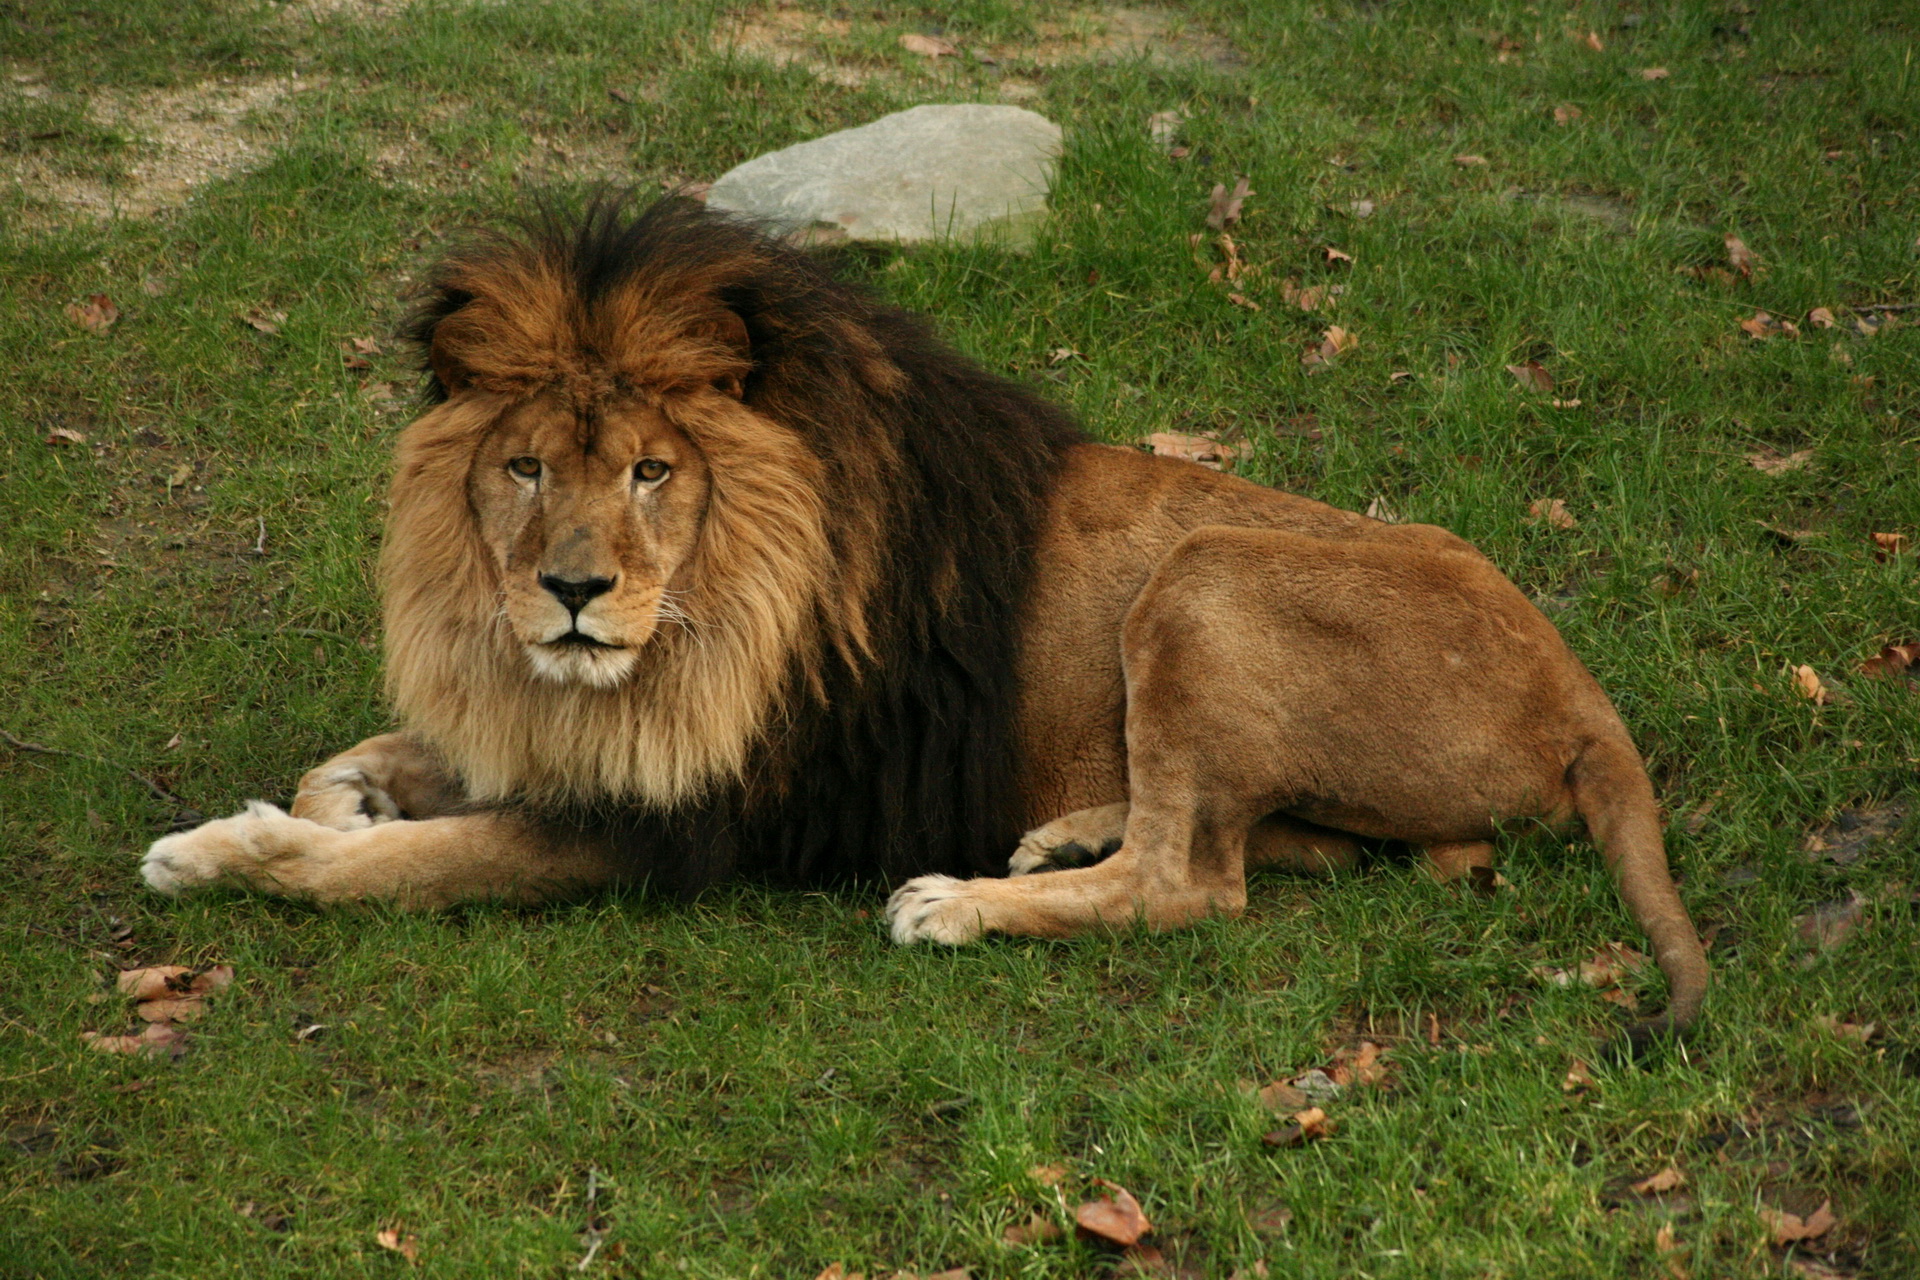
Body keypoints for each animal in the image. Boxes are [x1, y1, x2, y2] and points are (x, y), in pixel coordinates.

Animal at [145, 195, 1712, 1043]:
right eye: (525, 467)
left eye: (652, 471)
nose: (570, 591)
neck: (703, 617)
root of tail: (1581, 689)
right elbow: (371, 766)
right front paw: (336, 796)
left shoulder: (669, 822)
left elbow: (409, 868)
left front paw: (231, 852)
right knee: (1273, 843)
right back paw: (1063, 829)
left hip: (1204, 568)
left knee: (1188, 883)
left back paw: (956, 899)